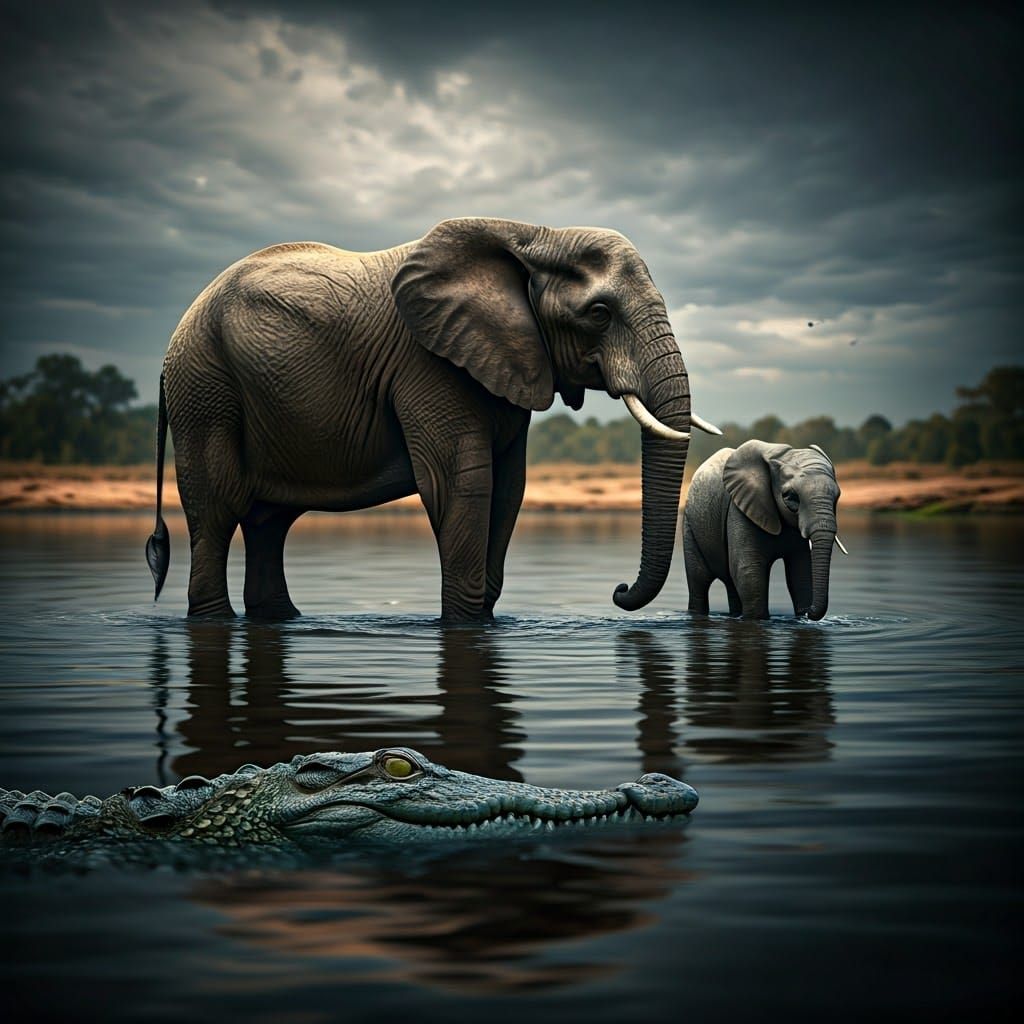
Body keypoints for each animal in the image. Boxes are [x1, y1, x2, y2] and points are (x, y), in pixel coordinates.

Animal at [145, 217, 719, 622]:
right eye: (599, 313)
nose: (618, 591)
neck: (532, 234)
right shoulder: (428, 364)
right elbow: (463, 484)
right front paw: (462, 624)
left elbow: (509, 489)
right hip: (205, 386)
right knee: (217, 510)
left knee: (268, 522)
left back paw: (282, 618)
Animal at [682, 440, 847, 620]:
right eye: (790, 497)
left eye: (837, 497)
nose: (807, 613)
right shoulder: (740, 510)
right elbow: (748, 570)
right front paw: (757, 619)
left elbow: (800, 571)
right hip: (690, 525)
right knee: (699, 580)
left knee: (731, 582)